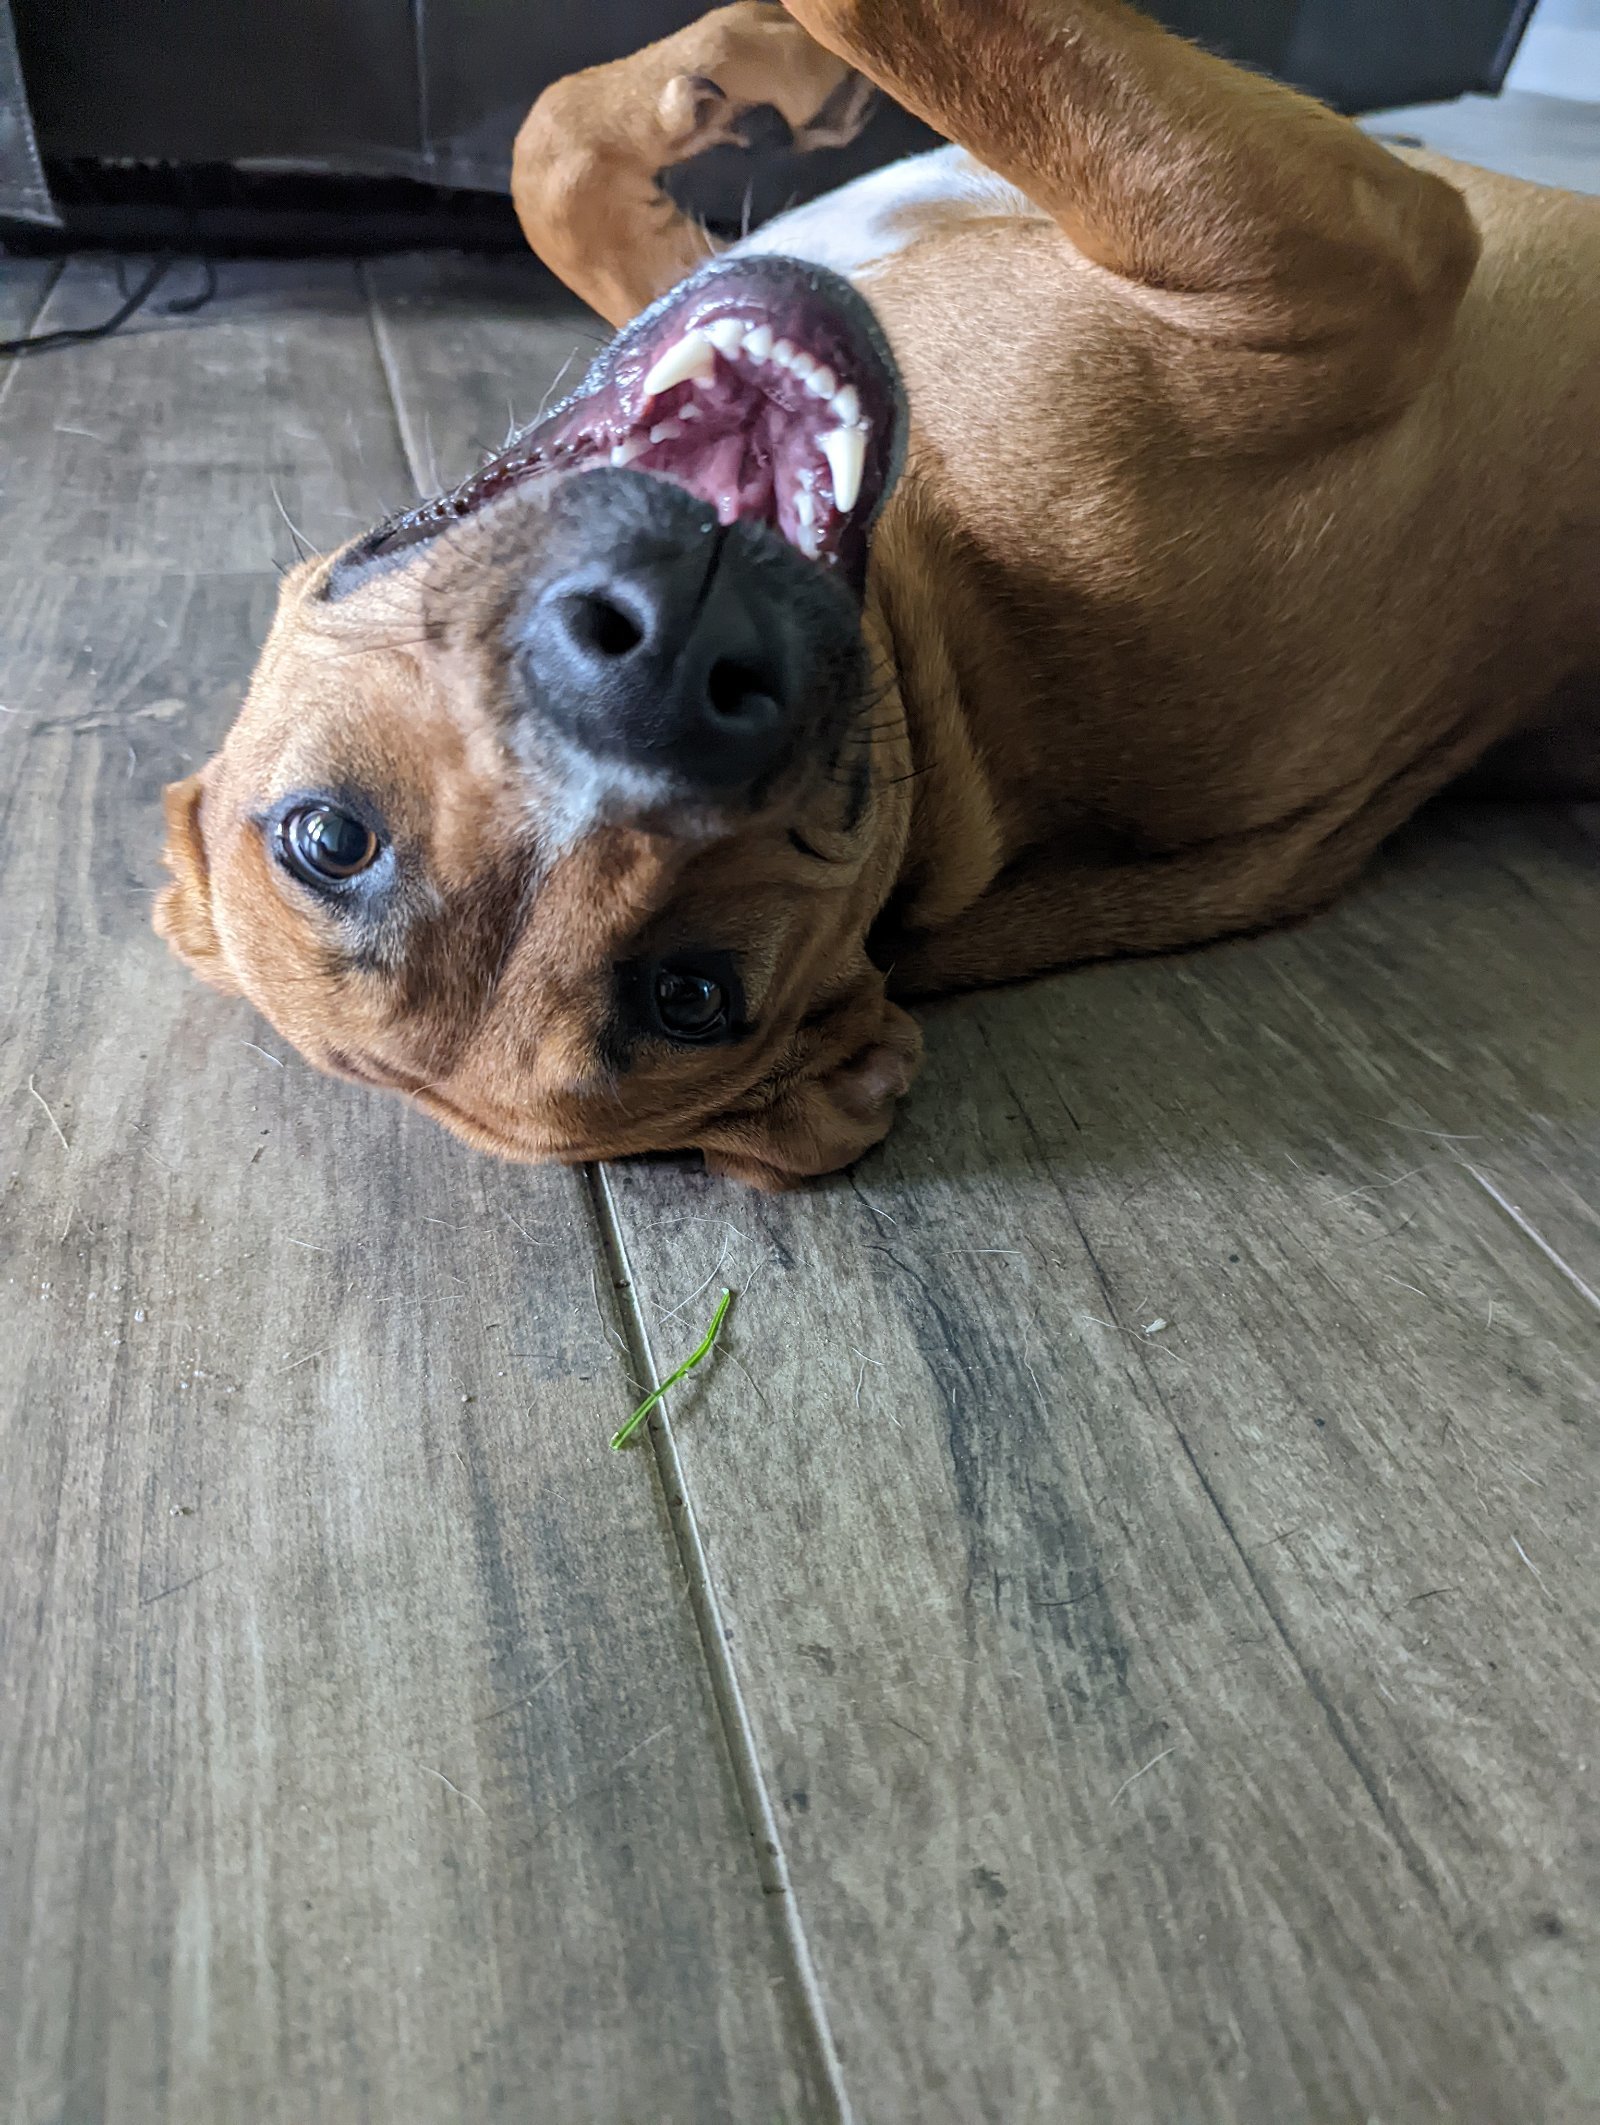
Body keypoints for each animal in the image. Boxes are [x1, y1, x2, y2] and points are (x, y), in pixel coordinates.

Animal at [156, 0, 1600, 1190]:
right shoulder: (1344, 263)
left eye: (324, 840)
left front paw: (741, 77)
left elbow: (552, 154)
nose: (658, 667)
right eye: (695, 997)